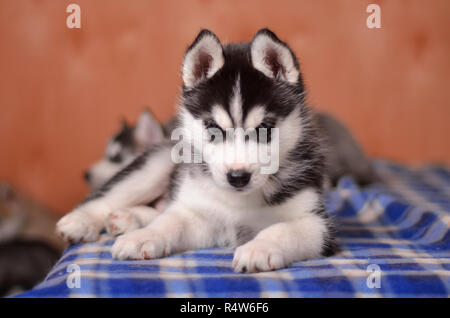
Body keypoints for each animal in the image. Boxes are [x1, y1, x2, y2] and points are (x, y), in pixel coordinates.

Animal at [56, 28, 336, 274]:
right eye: (213, 129)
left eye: (264, 128)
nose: (238, 177)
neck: (238, 202)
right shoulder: (201, 215)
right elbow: (171, 222)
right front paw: (144, 236)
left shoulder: (317, 223)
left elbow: (283, 229)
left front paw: (259, 248)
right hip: (158, 162)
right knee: (114, 197)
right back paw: (84, 221)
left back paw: (127, 219)